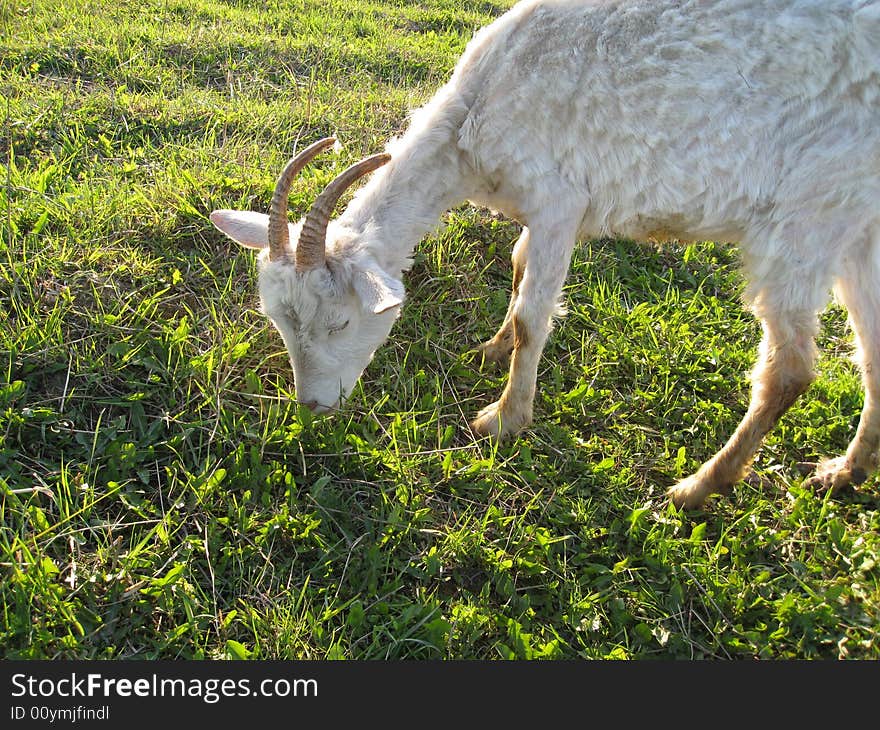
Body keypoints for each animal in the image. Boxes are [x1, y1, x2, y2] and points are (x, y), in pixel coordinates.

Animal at [208, 0, 880, 510]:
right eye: (280, 322)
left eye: (343, 322)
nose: (314, 407)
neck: (476, 115)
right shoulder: (536, 209)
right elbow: (518, 264)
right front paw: (492, 348)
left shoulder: (561, 201)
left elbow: (537, 316)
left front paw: (504, 419)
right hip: (859, 230)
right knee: (871, 351)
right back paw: (843, 473)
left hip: (806, 217)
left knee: (791, 367)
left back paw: (698, 488)